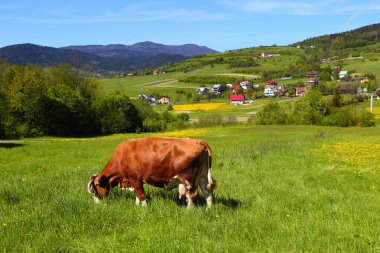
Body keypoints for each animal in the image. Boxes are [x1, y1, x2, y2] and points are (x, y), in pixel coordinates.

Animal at [87, 136, 215, 208]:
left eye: (94, 190)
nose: (96, 205)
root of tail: (198, 141)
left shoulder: (134, 178)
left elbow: (141, 194)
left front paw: (144, 208)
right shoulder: (134, 180)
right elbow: (137, 194)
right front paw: (137, 205)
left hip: (188, 179)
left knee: (192, 195)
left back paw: (188, 211)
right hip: (202, 176)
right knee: (207, 191)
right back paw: (209, 209)